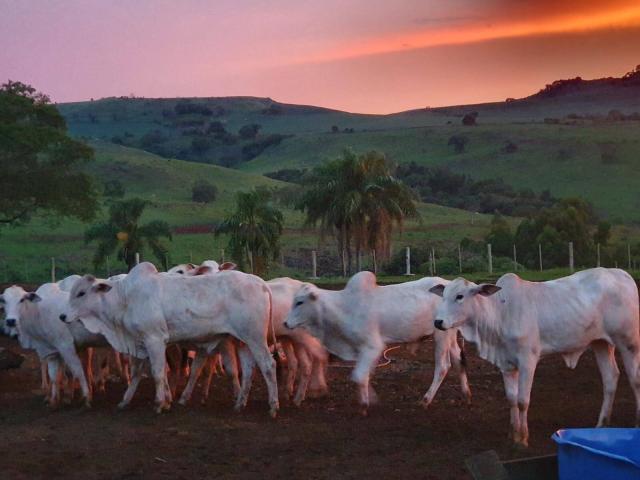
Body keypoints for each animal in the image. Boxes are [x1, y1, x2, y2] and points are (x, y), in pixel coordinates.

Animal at [63, 262, 280, 416]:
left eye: (81, 293)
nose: (63, 316)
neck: (125, 299)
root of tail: (260, 282)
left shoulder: (154, 340)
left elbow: (158, 373)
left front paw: (160, 404)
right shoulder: (140, 343)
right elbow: (137, 373)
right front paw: (127, 401)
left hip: (255, 338)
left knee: (268, 365)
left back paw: (273, 406)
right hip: (243, 341)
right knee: (249, 370)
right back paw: (240, 404)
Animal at [284, 272, 470, 414]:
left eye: (300, 302)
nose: (285, 323)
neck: (344, 307)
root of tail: (449, 284)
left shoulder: (373, 347)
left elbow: (359, 375)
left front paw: (365, 405)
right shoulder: (361, 350)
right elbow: (363, 375)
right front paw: (369, 398)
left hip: (441, 336)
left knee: (443, 366)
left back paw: (426, 399)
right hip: (450, 335)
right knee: (459, 359)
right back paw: (466, 394)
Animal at [428, 268, 640, 448]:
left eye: (459, 296)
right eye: (443, 296)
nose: (438, 322)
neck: (501, 312)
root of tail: (622, 275)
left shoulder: (528, 360)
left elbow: (523, 400)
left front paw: (523, 438)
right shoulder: (506, 364)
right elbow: (511, 398)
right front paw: (512, 434)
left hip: (629, 342)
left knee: (634, 379)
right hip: (601, 343)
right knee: (610, 378)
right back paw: (602, 424)